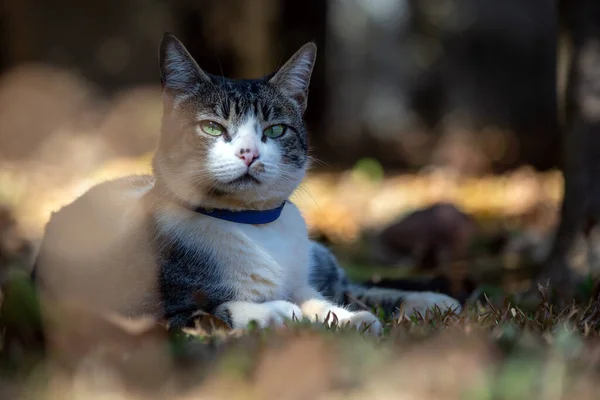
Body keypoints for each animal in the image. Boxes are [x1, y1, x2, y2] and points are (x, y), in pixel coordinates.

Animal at [32, 34, 462, 336]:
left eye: (274, 130)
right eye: (211, 127)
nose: (249, 153)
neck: (251, 225)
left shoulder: (302, 276)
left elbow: (318, 297)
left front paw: (349, 319)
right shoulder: (136, 310)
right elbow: (212, 309)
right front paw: (277, 310)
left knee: (348, 284)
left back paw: (432, 301)